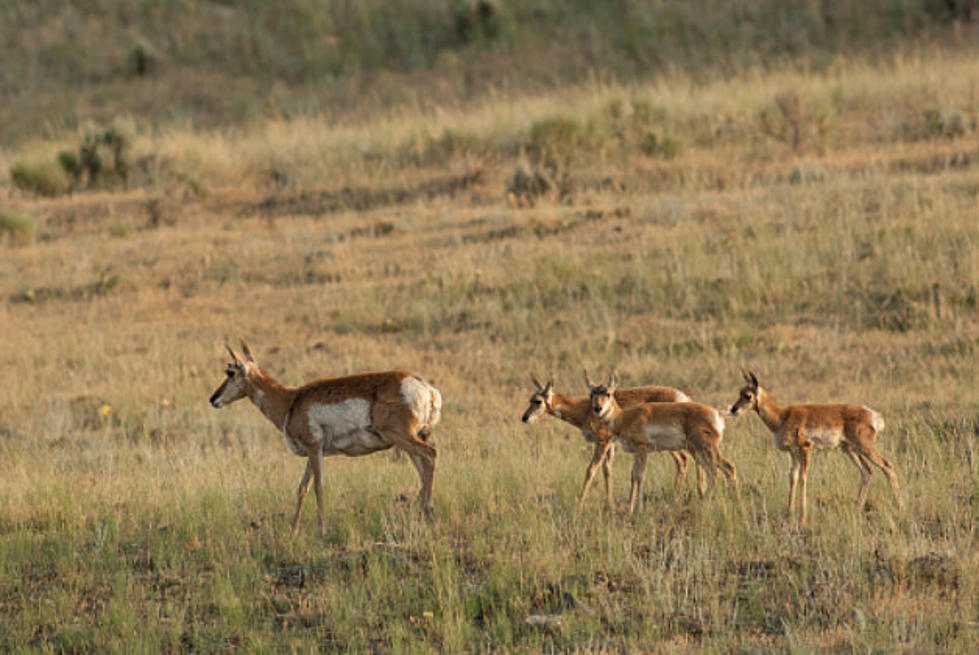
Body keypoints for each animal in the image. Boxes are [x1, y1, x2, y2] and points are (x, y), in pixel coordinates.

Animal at [209, 340, 442, 536]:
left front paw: (321, 531)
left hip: (402, 437)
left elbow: (318, 486)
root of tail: (428, 389)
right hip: (410, 442)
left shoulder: (314, 449)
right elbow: (302, 488)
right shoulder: (313, 453)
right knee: (423, 472)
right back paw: (421, 513)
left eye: (230, 372)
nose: (213, 399)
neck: (290, 400)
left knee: (430, 455)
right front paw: (293, 531)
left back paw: (428, 511)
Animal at [520, 374, 696, 512]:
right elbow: (607, 470)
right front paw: (608, 505)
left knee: (683, 459)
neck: (584, 409)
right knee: (683, 460)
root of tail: (682, 397)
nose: (524, 417)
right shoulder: (610, 444)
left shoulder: (602, 442)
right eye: (530, 399)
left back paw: (675, 500)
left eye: (538, 401)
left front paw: (579, 505)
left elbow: (591, 470)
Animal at [584, 368, 740, 516]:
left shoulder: (642, 449)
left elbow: (639, 476)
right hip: (699, 452)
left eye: (608, 393)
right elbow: (633, 475)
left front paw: (638, 510)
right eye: (591, 394)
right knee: (714, 472)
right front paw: (630, 509)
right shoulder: (637, 453)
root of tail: (717, 413)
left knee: (725, 468)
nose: (597, 409)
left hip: (706, 450)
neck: (625, 417)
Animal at [736, 366, 904, 524]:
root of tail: (872, 414)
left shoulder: (806, 448)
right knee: (867, 472)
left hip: (864, 447)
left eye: (748, 395)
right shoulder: (793, 453)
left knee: (887, 466)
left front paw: (802, 518)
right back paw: (857, 507)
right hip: (850, 450)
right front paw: (789, 516)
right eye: (740, 392)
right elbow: (793, 478)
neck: (782, 416)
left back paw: (900, 506)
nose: (733, 409)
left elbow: (803, 478)